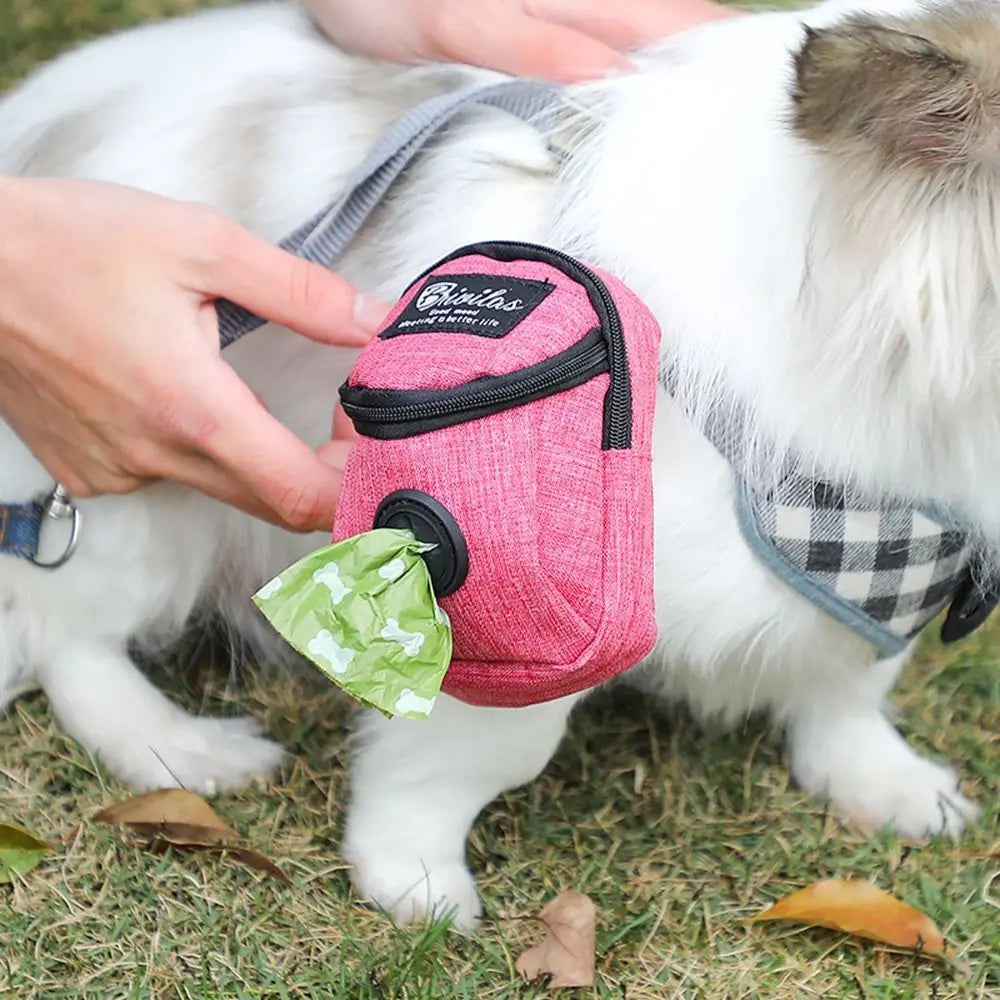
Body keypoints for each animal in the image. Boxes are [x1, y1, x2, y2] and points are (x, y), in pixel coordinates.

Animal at [0, 0, 992, 928]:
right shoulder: (515, 606)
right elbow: (475, 757)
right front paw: (413, 877)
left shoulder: (895, 556)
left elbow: (848, 690)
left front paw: (886, 786)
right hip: (138, 509)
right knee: (68, 637)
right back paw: (181, 747)